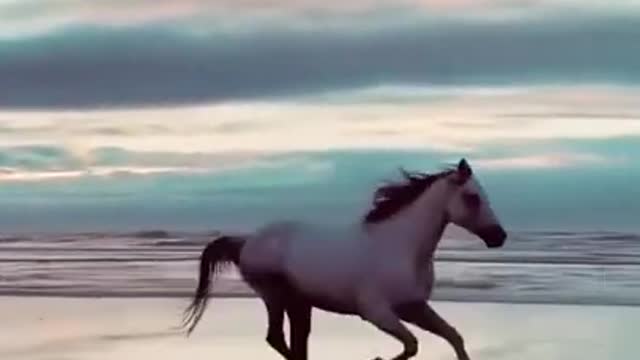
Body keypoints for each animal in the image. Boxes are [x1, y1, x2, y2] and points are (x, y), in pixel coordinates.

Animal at [182, 159, 508, 360]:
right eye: (472, 197)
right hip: (275, 296)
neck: (399, 248)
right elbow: (411, 345)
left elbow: (454, 337)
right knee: (277, 339)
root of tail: (248, 241)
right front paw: (377, 358)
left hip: (300, 303)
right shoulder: (377, 312)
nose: (499, 236)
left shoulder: (414, 308)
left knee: (295, 342)